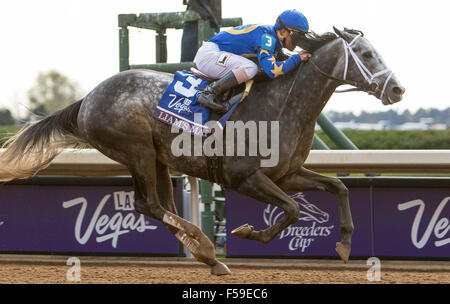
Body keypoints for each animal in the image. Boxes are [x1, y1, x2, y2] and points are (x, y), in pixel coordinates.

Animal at [0, 27, 404, 276]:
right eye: (365, 53)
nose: (397, 89)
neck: (282, 104)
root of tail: (87, 99)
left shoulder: (286, 173)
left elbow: (339, 186)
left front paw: (345, 244)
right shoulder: (242, 176)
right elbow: (290, 210)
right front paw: (247, 233)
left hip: (158, 159)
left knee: (161, 205)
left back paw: (208, 256)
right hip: (137, 151)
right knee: (148, 205)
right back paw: (209, 250)